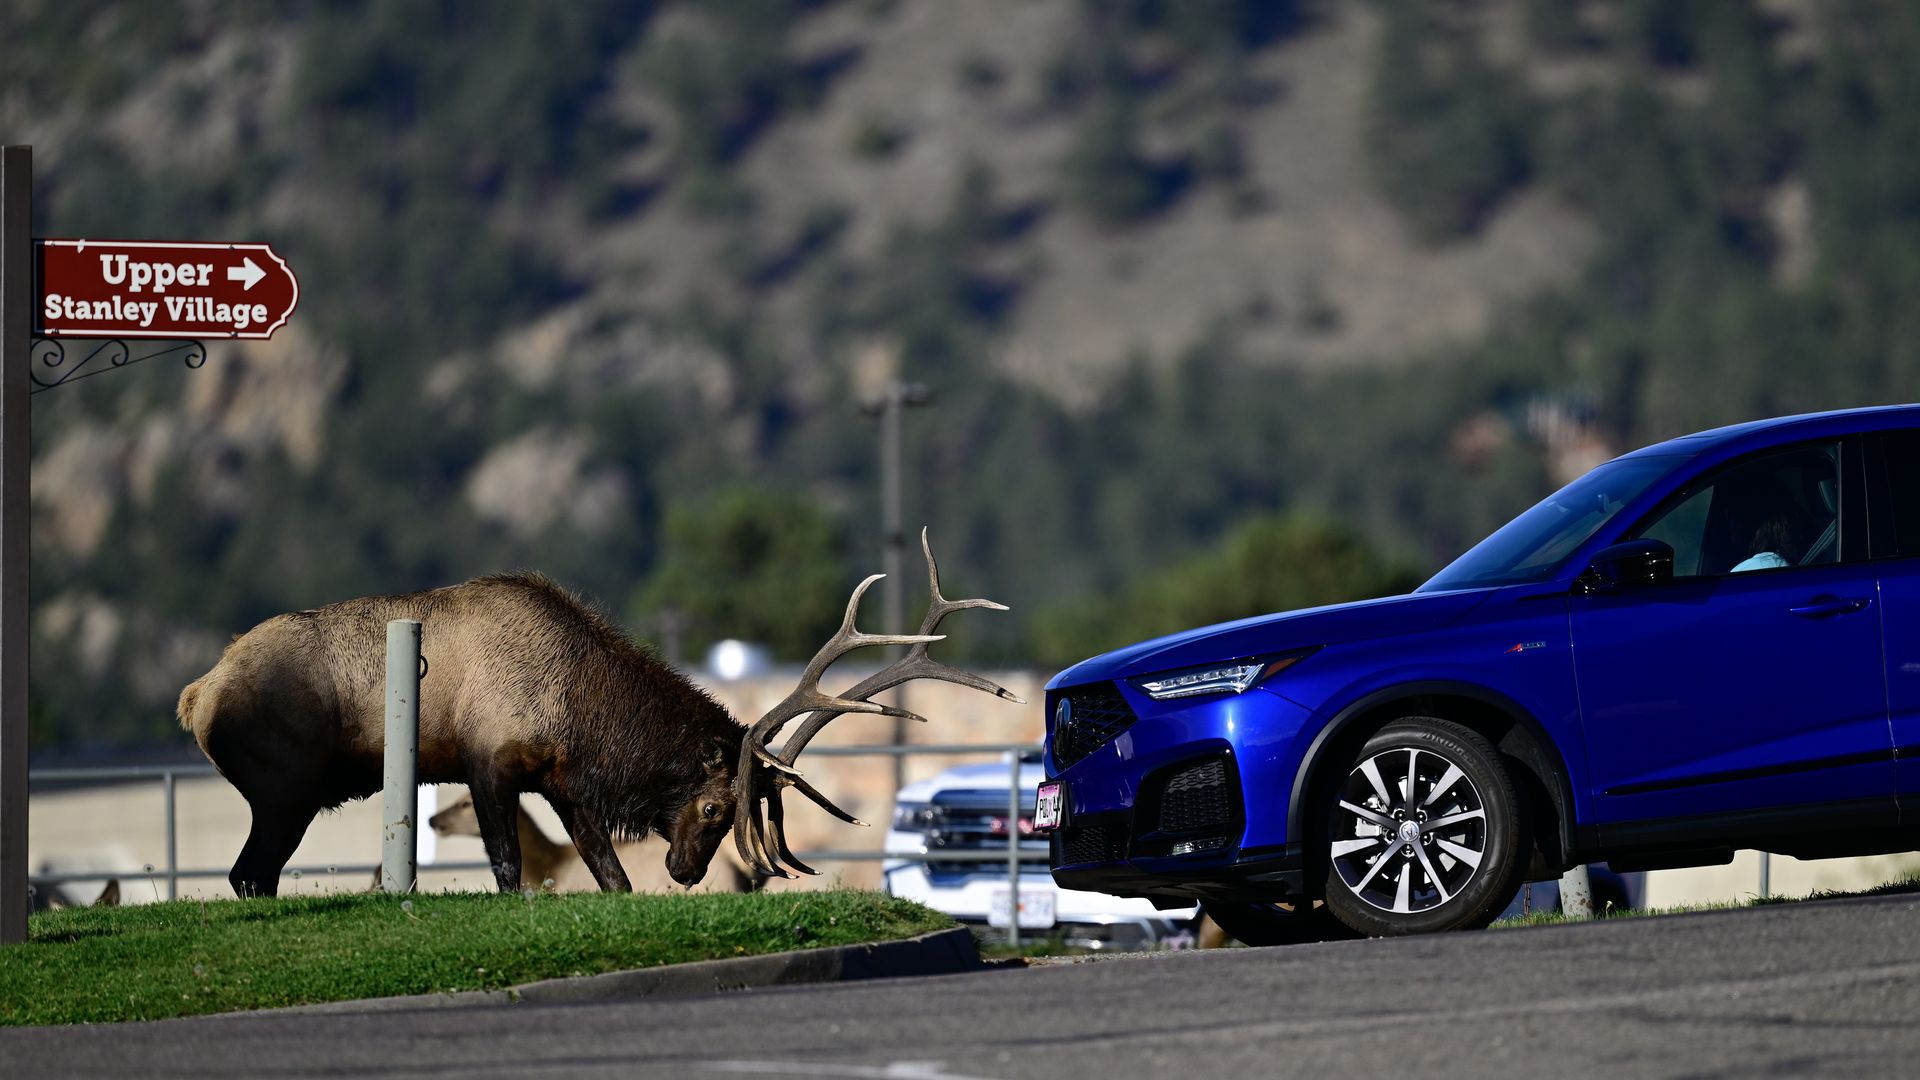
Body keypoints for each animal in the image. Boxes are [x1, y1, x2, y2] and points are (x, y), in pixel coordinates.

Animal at [178, 529, 1021, 896]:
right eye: (714, 806)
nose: (686, 872)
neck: (585, 713)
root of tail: (197, 693)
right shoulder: (489, 762)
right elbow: (509, 867)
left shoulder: (563, 781)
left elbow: (608, 874)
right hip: (284, 789)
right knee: (248, 874)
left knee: (252, 874)